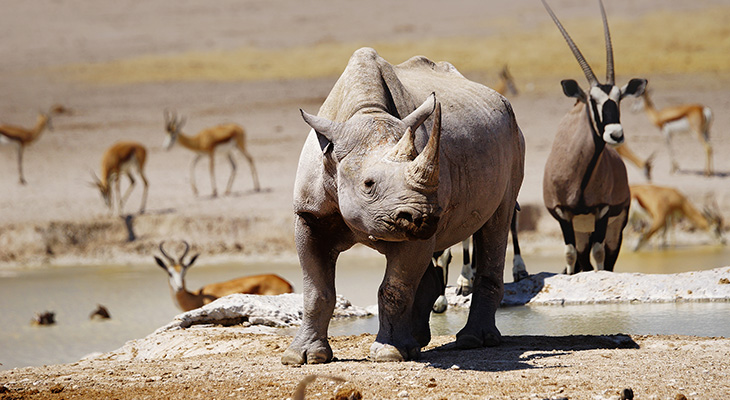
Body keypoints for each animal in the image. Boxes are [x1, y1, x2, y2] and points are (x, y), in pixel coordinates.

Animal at [540, 0, 644, 276]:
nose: (615, 134)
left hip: (614, 227)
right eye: (592, 100)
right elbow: (569, 254)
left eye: (619, 99)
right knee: (581, 259)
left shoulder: (603, 210)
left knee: (605, 258)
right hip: (581, 230)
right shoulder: (562, 213)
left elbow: (599, 256)